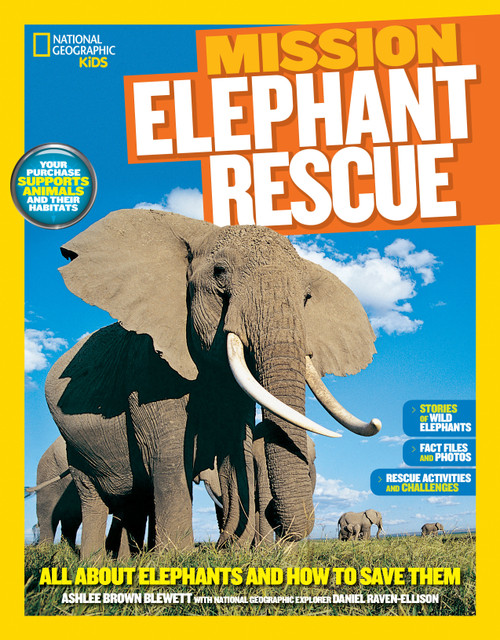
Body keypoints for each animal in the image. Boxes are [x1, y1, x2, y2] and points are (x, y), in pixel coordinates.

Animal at [46, 208, 381, 556]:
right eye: (220, 274)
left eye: (307, 297)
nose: (221, 542)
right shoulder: (148, 368)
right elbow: (168, 457)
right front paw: (177, 557)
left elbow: (235, 448)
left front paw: (234, 550)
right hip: (76, 448)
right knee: (94, 497)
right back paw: (96, 562)